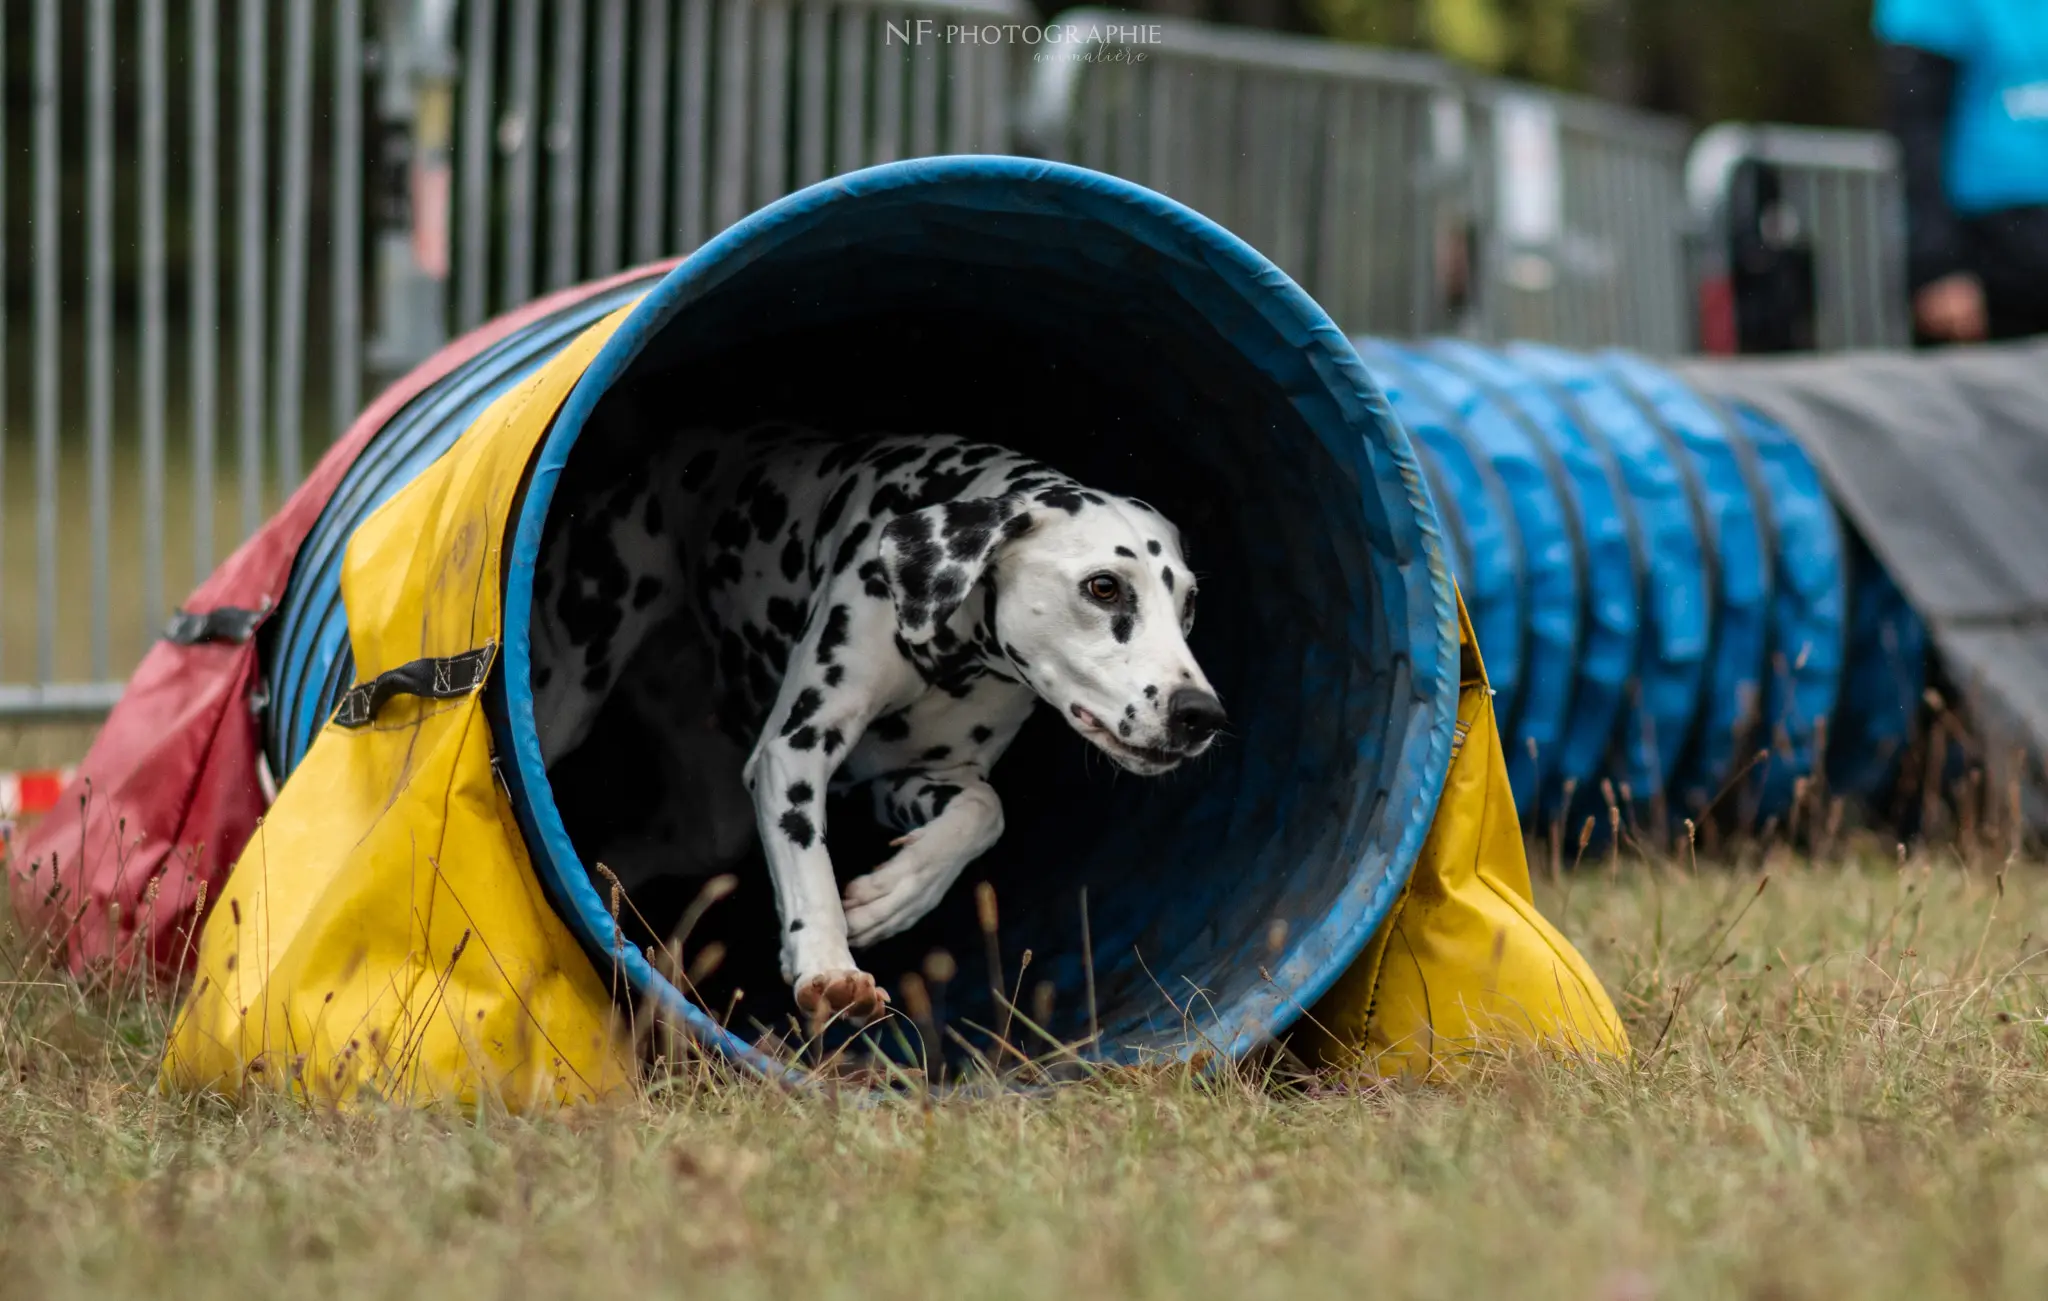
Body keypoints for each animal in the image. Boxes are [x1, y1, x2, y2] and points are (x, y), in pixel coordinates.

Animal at [536, 409, 1220, 1028]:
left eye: (1188, 601)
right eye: (1104, 586)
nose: (1201, 715)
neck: (950, 646)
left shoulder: (907, 781)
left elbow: (984, 811)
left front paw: (896, 896)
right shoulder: (797, 748)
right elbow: (808, 861)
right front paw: (826, 965)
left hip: (711, 831)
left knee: (623, 854)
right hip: (572, 686)